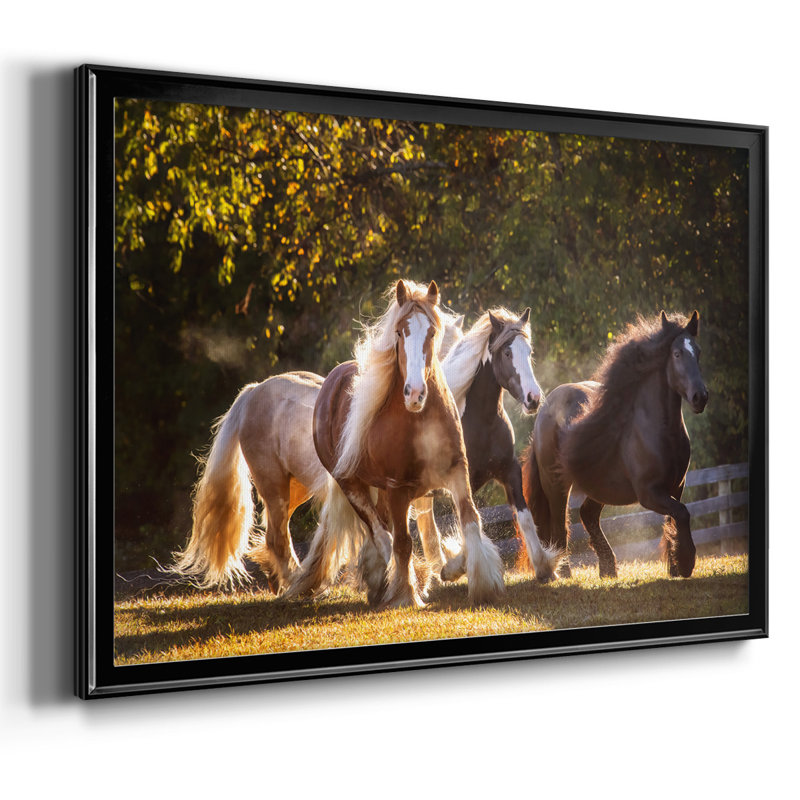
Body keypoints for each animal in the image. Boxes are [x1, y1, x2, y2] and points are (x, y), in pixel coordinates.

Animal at [168, 313, 464, 592]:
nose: (418, 395)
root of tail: (252, 392)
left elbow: (421, 531)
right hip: (274, 486)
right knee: (278, 537)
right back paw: (295, 584)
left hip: (295, 489)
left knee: (274, 533)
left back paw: (281, 582)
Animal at [285, 279, 505, 608]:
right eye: (400, 332)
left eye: (431, 331)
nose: (414, 393)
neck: (420, 421)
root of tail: (331, 382)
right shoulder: (398, 490)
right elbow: (402, 542)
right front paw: (407, 594)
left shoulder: (457, 472)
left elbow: (470, 520)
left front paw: (484, 584)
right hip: (353, 486)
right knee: (380, 534)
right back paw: (390, 582)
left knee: (382, 531)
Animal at [412, 308, 561, 584]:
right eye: (507, 353)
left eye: (529, 351)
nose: (533, 398)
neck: (482, 422)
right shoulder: (462, 481)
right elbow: (472, 521)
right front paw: (455, 568)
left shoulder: (509, 470)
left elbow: (524, 517)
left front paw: (544, 568)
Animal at [521, 311, 708, 579]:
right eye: (677, 354)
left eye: (698, 352)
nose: (700, 397)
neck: (660, 433)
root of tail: (545, 408)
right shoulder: (649, 493)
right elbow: (682, 513)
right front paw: (685, 563)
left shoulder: (677, 486)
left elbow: (674, 520)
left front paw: (675, 566)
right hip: (555, 484)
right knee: (559, 527)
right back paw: (564, 572)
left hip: (599, 485)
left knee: (587, 515)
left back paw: (608, 568)